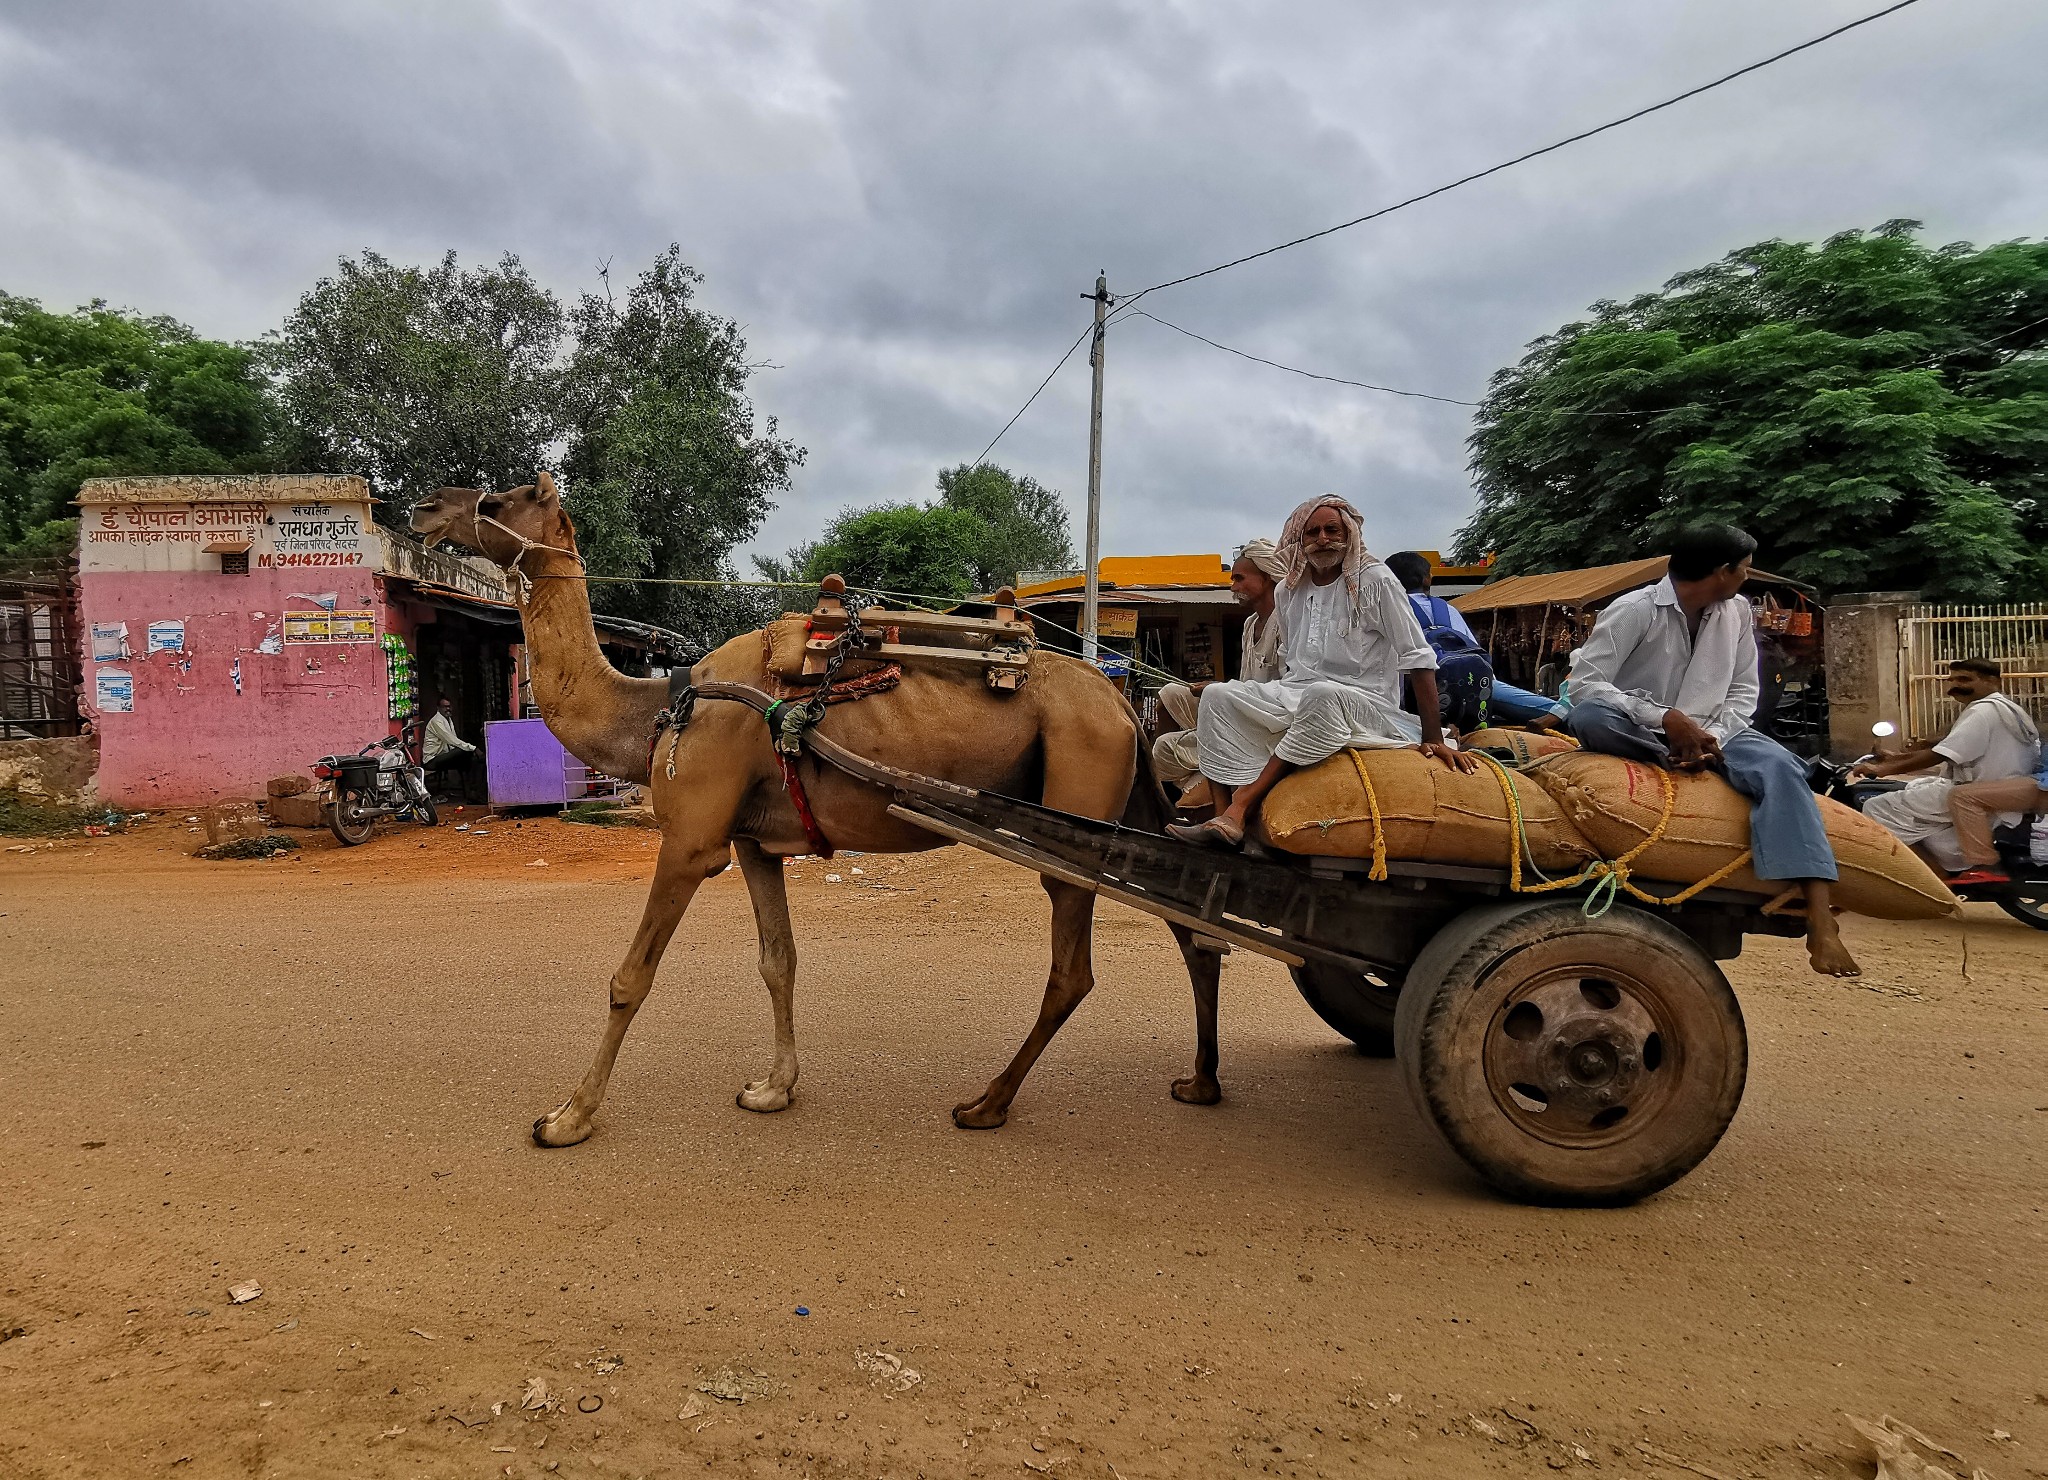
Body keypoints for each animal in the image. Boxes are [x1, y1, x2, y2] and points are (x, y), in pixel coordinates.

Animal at [407, 474, 1220, 1146]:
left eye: (499, 497)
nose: (422, 507)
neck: (660, 708)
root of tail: (1121, 700)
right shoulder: (750, 843)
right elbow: (779, 960)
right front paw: (773, 1088)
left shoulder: (691, 839)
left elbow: (630, 977)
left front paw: (567, 1117)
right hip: (1125, 806)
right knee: (1192, 928)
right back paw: (1200, 1081)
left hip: (1079, 798)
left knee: (1074, 970)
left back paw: (987, 1103)